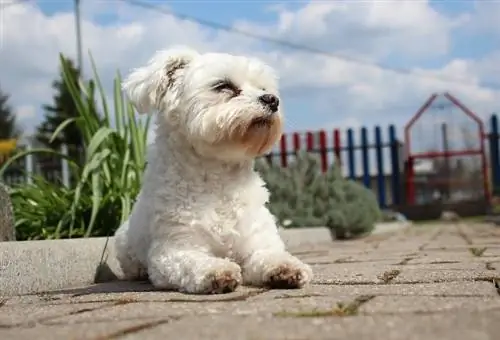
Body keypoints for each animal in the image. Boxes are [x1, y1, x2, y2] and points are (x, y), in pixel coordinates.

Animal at [115, 46, 314, 294]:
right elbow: (192, 262)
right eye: (223, 86)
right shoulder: (174, 249)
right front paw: (217, 271)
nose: (272, 99)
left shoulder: (257, 240)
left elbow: (268, 255)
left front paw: (286, 267)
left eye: (263, 88)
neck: (219, 179)